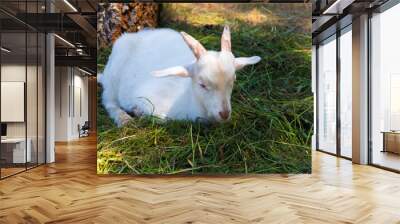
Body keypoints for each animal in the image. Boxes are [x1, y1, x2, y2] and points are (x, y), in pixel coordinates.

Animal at [100, 25, 260, 128]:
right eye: (202, 84)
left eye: (233, 81)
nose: (225, 114)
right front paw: (138, 112)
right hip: (114, 75)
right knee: (108, 100)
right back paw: (124, 119)